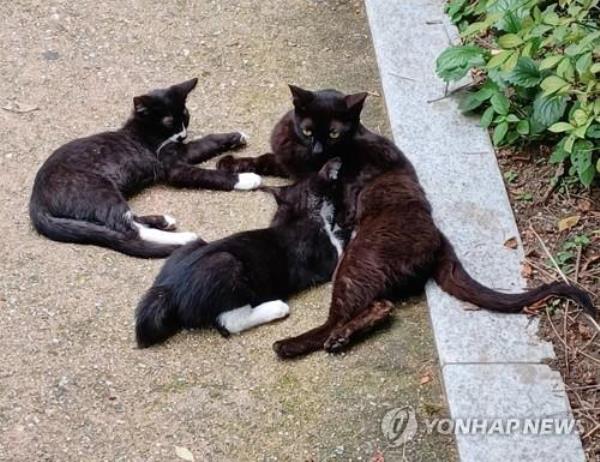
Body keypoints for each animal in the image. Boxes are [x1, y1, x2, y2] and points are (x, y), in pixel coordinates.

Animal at [29, 80, 260, 260]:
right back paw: (185, 238)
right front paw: (246, 178)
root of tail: (35, 200)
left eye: (185, 115)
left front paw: (235, 137)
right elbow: (206, 167)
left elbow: (205, 143)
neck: (142, 130)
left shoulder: (182, 150)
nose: (183, 135)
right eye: (168, 121)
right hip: (98, 188)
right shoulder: (172, 166)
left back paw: (164, 221)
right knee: (128, 229)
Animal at [134, 158, 344, 346]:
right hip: (226, 264)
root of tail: (168, 290)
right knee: (229, 323)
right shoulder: (325, 259)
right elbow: (340, 250)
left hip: (190, 245)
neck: (301, 213)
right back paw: (276, 308)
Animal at [216, 85, 366, 180]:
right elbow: (266, 159)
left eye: (334, 134)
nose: (317, 151)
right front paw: (232, 164)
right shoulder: (287, 160)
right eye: (307, 131)